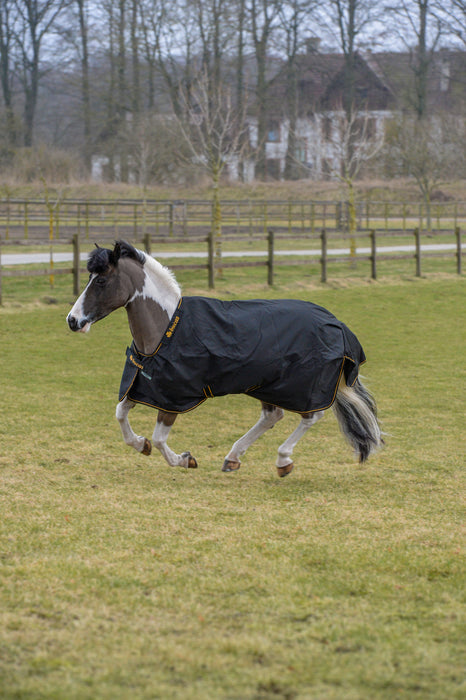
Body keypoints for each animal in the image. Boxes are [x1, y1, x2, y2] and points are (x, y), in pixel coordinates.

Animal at [67, 240, 382, 477]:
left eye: (102, 280)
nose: (72, 321)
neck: (165, 330)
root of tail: (337, 324)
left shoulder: (173, 398)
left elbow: (158, 439)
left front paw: (185, 459)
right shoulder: (143, 387)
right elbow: (121, 414)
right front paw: (140, 444)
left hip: (301, 387)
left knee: (311, 416)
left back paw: (283, 461)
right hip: (267, 385)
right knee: (272, 416)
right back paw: (233, 458)